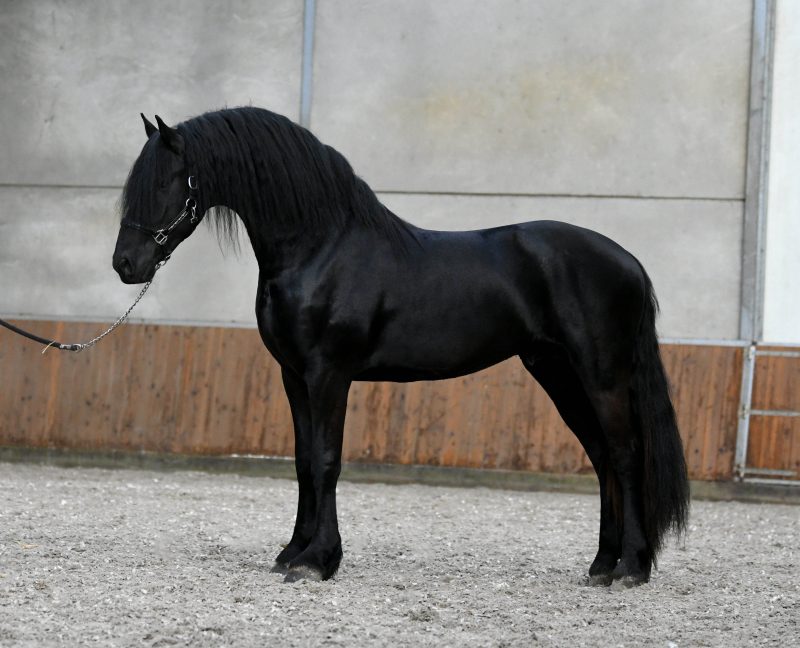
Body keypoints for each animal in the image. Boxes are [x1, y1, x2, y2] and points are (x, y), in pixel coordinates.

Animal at [113, 107, 689, 586]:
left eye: (163, 181)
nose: (125, 265)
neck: (320, 247)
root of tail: (628, 261)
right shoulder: (293, 375)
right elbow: (302, 461)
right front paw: (292, 552)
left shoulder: (329, 373)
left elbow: (325, 460)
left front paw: (318, 561)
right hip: (557, 372)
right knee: (602, 456)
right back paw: (602, 564)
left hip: (600, 374)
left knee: (625, 454)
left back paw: (632, 568)